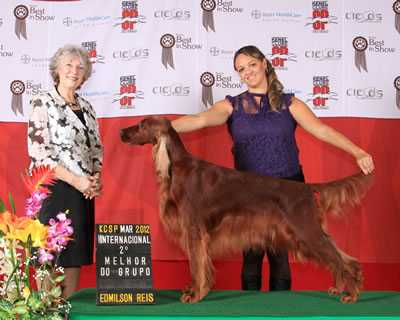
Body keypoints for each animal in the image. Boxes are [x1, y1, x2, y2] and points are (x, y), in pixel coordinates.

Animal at [120, 116, 374, 304]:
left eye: (142, 125)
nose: (121, 131)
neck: (178, 166)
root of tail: (306, 187)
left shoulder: (194, 230)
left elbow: (196, 266)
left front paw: (194, 294)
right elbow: (199, 264)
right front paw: (195, 290)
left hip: (306, 230)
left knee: (342, 259)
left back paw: (351, 295)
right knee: (339, 258)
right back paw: (340, 288)